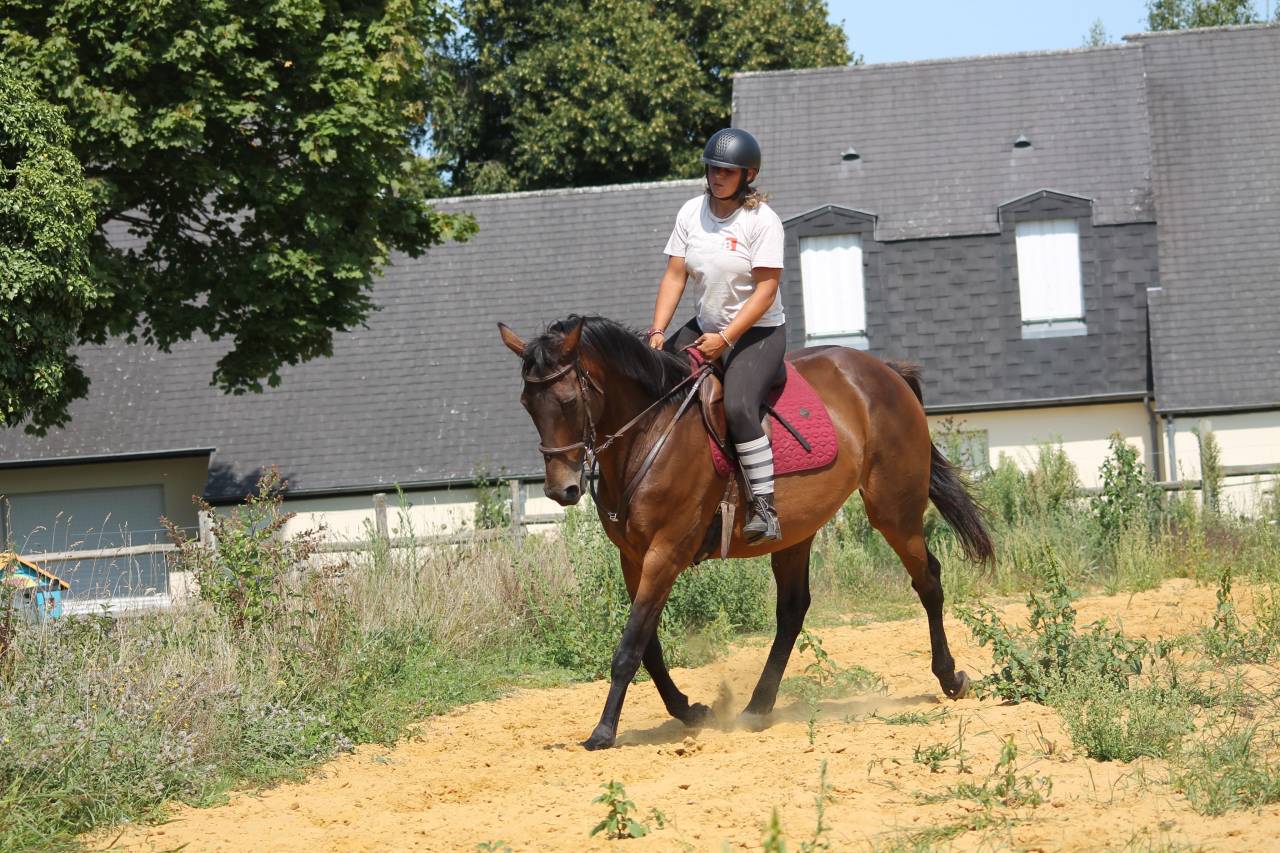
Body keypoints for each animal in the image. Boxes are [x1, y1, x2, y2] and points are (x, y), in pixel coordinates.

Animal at [498, 315, 993, 750]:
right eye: (526, 405)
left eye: (567, 401)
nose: (561, 490)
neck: (650, 432)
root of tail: (885, 372)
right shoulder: (633, 558)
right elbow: (649, 646)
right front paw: (688, 710)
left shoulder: (665, 554)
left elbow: (630, 646)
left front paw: (603, 732)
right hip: (797, 532)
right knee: (793, 610)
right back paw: (758, 707)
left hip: (894, 511)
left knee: (927, 580)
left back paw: (949, 677)